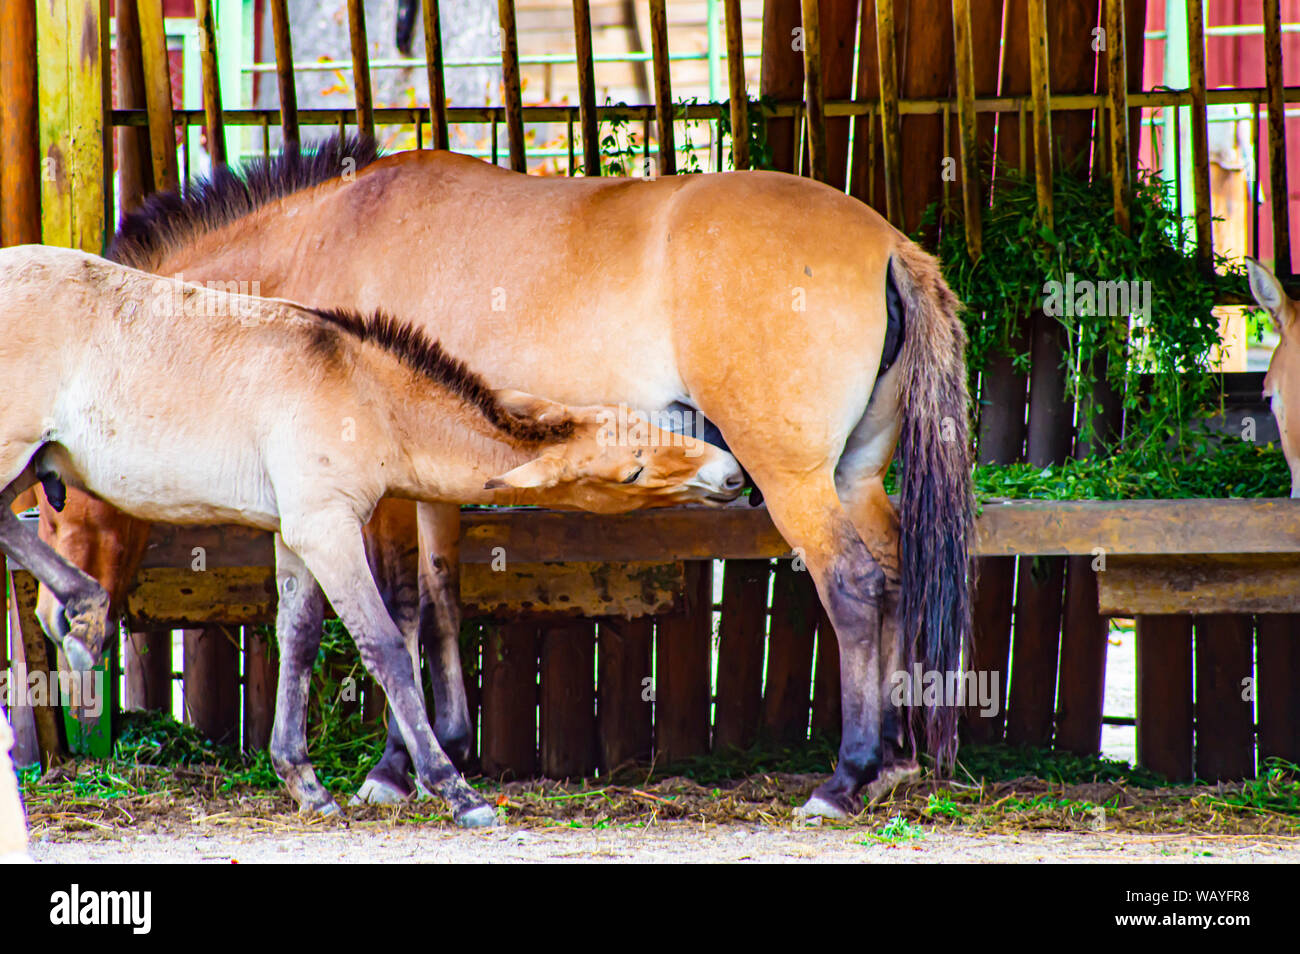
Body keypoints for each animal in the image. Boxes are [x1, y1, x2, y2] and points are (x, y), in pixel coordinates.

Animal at [0, 244, 744, 825]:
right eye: (634, 469)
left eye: (641, 426)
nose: (731, 472)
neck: (360, 390)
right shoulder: (328, 528)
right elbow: (385, 644)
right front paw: (452, 789)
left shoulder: (296, 532)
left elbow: (298, 638)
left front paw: (302, 780)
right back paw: (85, 612)